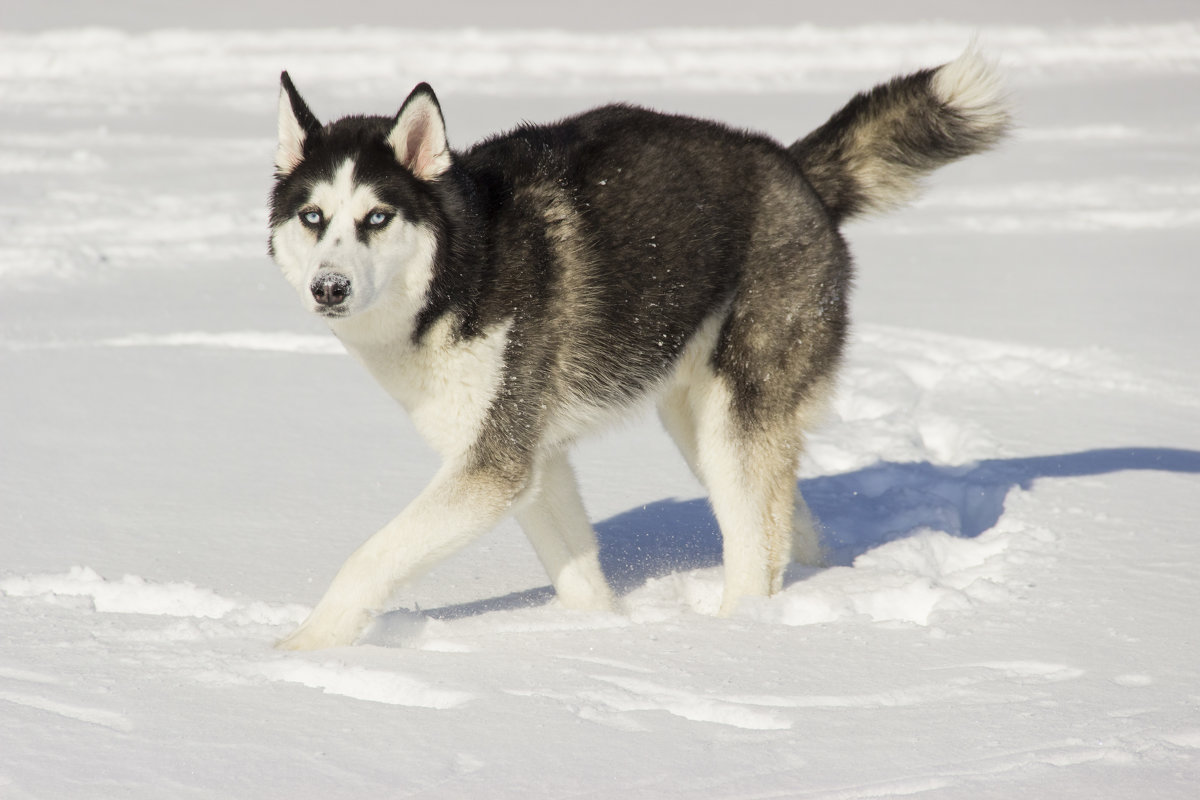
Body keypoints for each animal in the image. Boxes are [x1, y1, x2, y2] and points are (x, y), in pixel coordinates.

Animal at [267, 48, 1008, 652]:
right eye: (313, 218)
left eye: (376, 217)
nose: (328, 288)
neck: (462, 270)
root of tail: (794, 168)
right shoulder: (534, 462)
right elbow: (576, 575)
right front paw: (603, 635)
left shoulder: (493, 467)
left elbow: (372, 555)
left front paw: (302, 648)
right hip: (697, 423)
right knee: (783, 519)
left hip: (735, 415)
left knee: (755, 550)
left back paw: (743, 634)